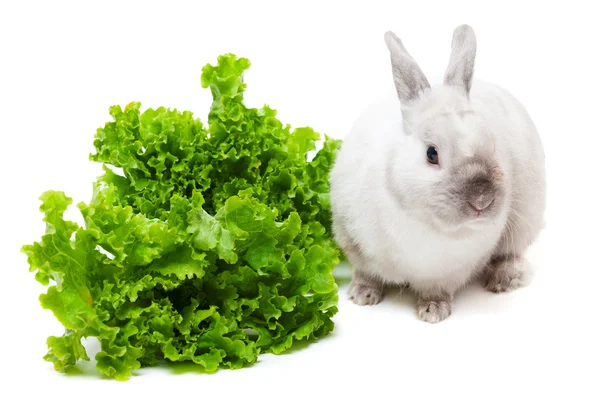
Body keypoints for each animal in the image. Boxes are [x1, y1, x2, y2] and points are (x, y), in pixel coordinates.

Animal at [330, 25, 548, 324]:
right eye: (432, 154)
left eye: (493, 145)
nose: (482, 199)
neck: (425, 222)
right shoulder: (354, 243)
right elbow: (366, 273)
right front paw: (362, 296)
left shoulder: (448, 272)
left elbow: (436, 290)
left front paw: (433, 312)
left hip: (525, 220)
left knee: (510, 253)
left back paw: (504, 279)